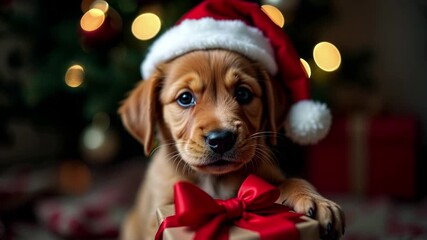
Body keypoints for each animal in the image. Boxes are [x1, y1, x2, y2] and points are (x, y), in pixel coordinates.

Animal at [118, 49, 346, 239]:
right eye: (185, 98)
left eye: (243, 93)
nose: (221, 139)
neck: (215, 181)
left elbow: (292, 180)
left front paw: (315, 199)